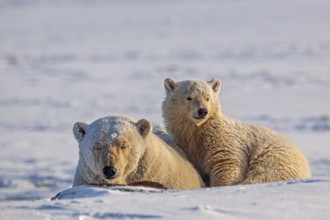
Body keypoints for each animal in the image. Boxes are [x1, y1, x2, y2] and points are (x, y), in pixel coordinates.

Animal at [162, 78, 312, 186]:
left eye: (207, 97)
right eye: (189, 97)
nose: (202, 111)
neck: (198, 130)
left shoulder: (222, 140)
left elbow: (226, 162)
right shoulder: (189, 147)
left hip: (275, 155)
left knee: (266, 173)